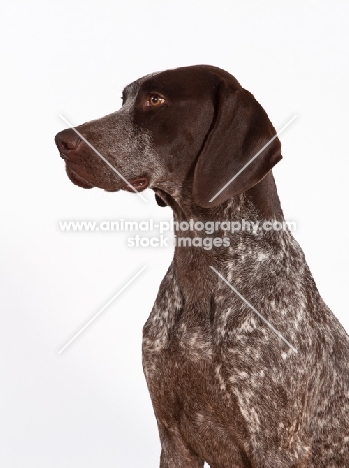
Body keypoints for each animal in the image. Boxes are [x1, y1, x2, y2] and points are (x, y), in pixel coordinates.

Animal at [55, 64, 348, 466]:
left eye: (156, 100)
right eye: (124, 100)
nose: (62, 140)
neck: (203, 268)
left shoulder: (274, 447)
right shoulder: (173, 439)